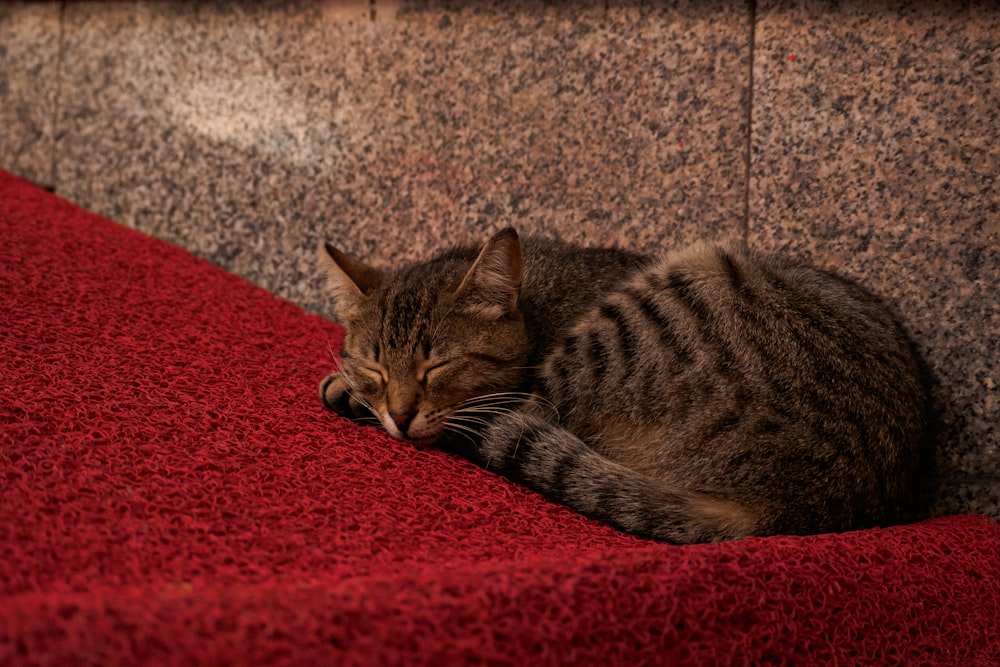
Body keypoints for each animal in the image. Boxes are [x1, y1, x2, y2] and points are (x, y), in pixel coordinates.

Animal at [320, 228, 936, 544]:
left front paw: (345, 391)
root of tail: (806, 506)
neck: (538, 303)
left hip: (678, 286)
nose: (400, 415)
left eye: (437, 366)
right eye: (376, 367)